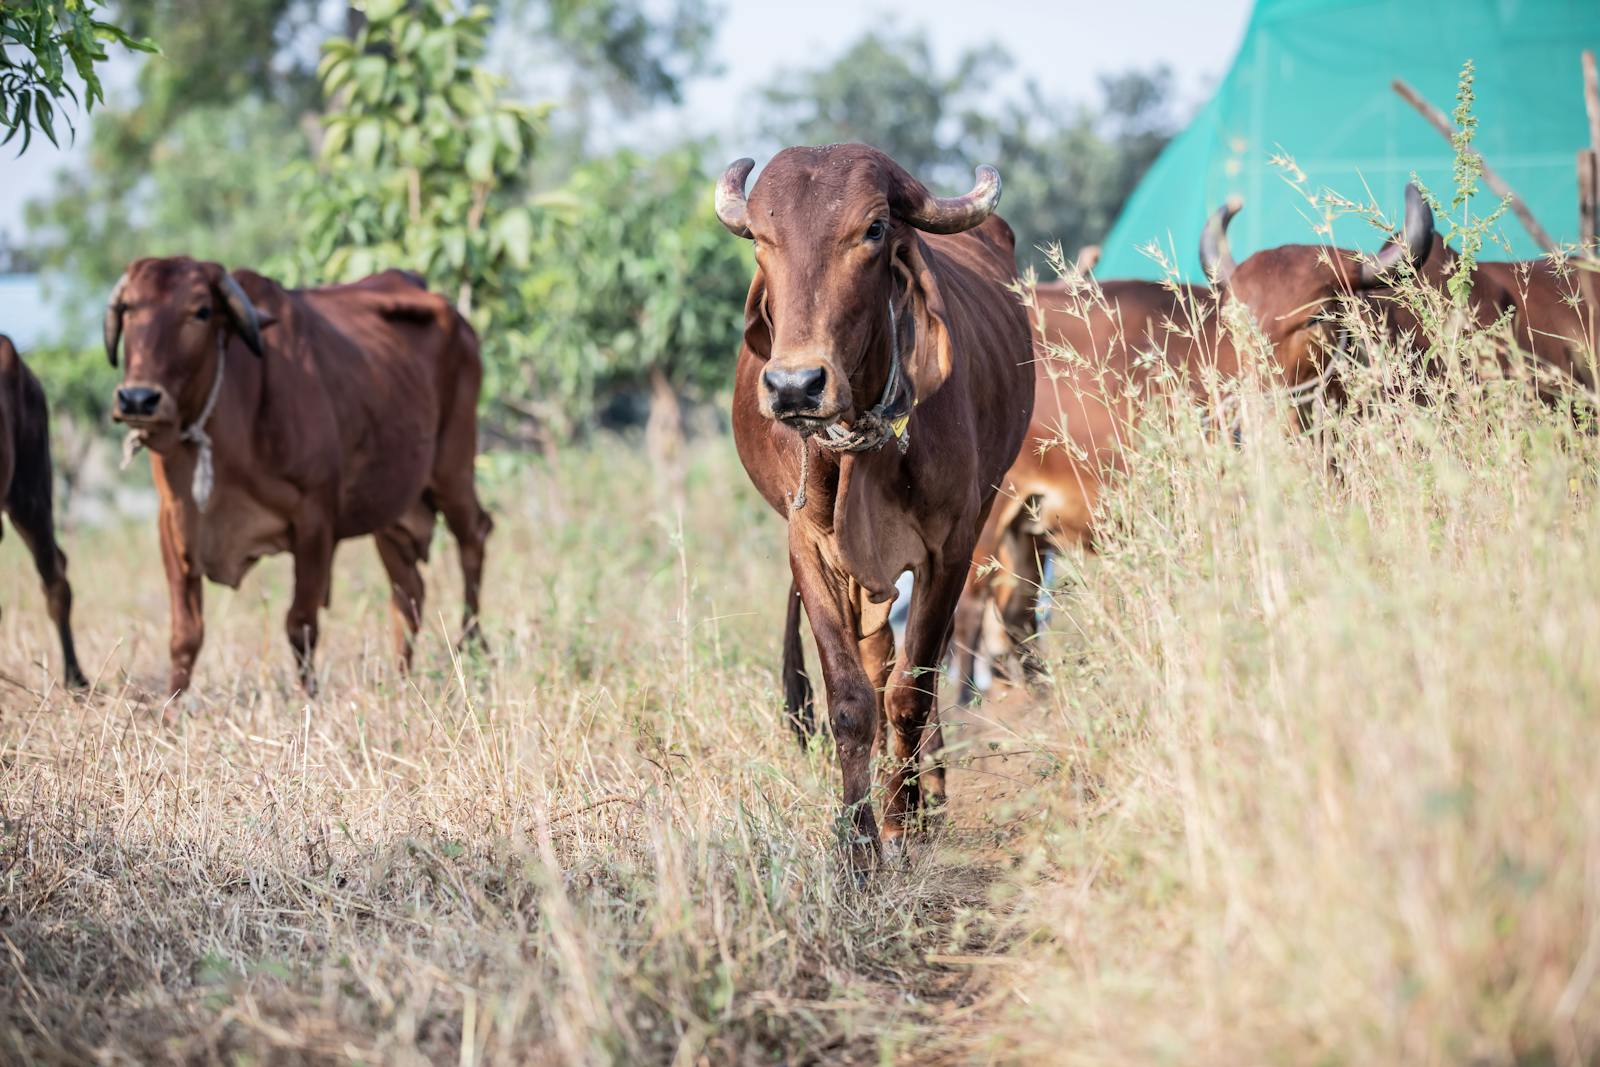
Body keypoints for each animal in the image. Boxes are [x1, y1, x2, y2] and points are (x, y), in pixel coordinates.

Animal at [106, 258, 492, 697]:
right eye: (128, 308)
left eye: (201, 311)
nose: (138, 399)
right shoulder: (173, 526)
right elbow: (186, 635)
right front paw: (170, 709)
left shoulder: (314, 522)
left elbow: (300, 624)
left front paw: (309, 698)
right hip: (392, 514)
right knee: (408, 595)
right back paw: (400, 683)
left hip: (453, 472)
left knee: (474, 538)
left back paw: (472, 647)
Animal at [715, 144, 1036, 868]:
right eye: (763, 242)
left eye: (873, 229)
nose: (795, 385)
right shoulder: (811, 548)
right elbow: (853, 698)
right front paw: (859, 846)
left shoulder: (952, 547)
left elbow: (912, 691)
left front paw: (899, 823)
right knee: (879, 659)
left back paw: (928, 793)